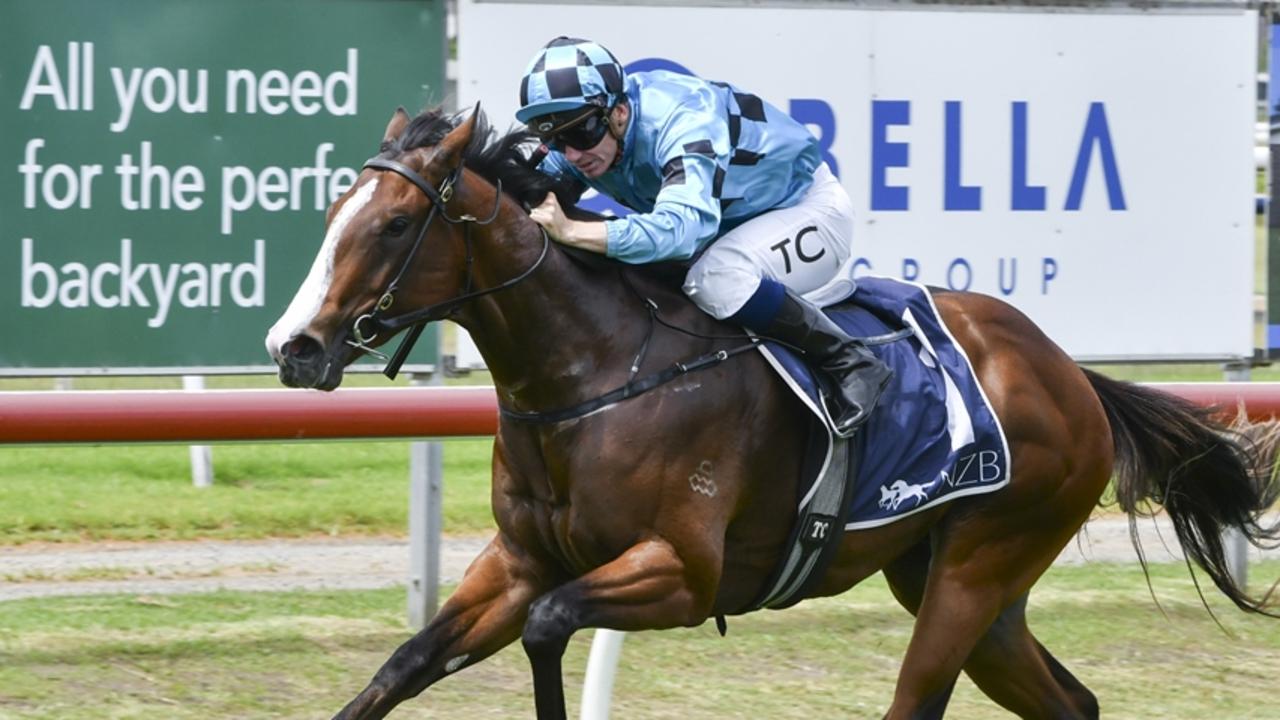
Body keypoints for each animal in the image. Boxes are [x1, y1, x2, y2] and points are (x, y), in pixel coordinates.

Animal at [264, 107, 1274, 717]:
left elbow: (552, 627)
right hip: (963, 585)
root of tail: (1070, 374)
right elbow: (404, 665)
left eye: (396, 224)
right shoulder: (517, 563)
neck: (593, 372)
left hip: (977, 568)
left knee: (919, 696)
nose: (295, 347)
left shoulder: (683, 574)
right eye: (334, 208)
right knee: (1072, 702)